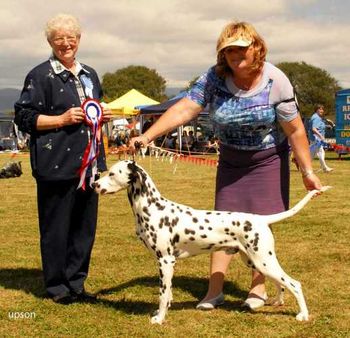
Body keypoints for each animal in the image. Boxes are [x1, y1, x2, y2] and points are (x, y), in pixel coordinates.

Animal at [94, 161, 330, 324]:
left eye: (112, 173)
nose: (94, 183)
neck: (153, 207)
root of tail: (262, 219)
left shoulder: (165, 261)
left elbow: (162, 294)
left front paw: (159, 319)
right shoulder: (167, 264)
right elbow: (167, 293)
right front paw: (163, 311)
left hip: (263, 260)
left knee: (294, 284)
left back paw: (302, 314)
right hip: (256, 261)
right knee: (281, 283)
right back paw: (277, 302)